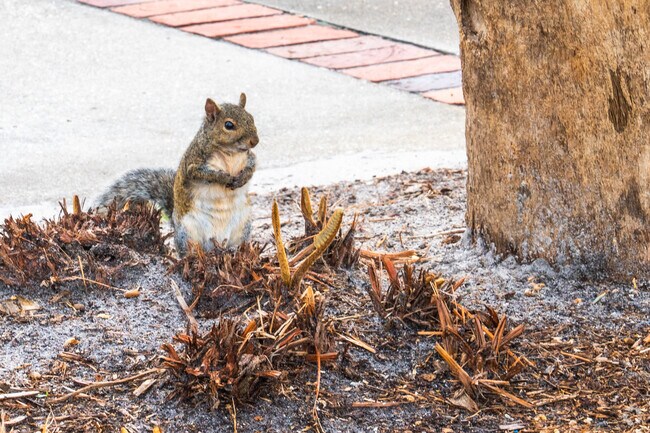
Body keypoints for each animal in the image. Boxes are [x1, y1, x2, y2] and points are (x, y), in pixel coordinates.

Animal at [96, 93, 259, 255]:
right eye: (229, 125)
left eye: (251, 117)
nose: (255, 141)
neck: (231, 154)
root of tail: (217, 245)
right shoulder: (193, 164)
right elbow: (204, 174)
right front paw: (223, 177)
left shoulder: (249, 156)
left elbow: (252, 164)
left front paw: (244, 177)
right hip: (188, 232)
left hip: (244, 226)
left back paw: (235, 250)